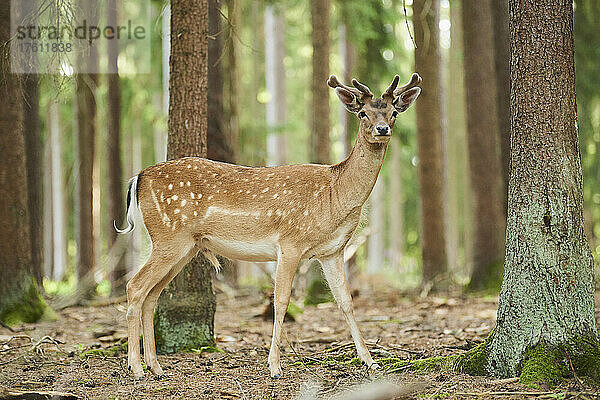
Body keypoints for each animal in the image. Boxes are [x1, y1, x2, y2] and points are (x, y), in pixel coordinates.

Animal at [117, 74, 422, 378]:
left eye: (393, 112)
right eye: (362, 113)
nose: (382, 129)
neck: (333, 196)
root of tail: (138, 177)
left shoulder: (332, 251)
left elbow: (345, 301)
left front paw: (370, 360)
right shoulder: (290, 242)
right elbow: (281, 301)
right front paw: (274, 365)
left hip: (185, 247)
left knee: (152, 295)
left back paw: (155, 366)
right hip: (168, 237)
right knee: (135, 286)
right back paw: (136, 367)